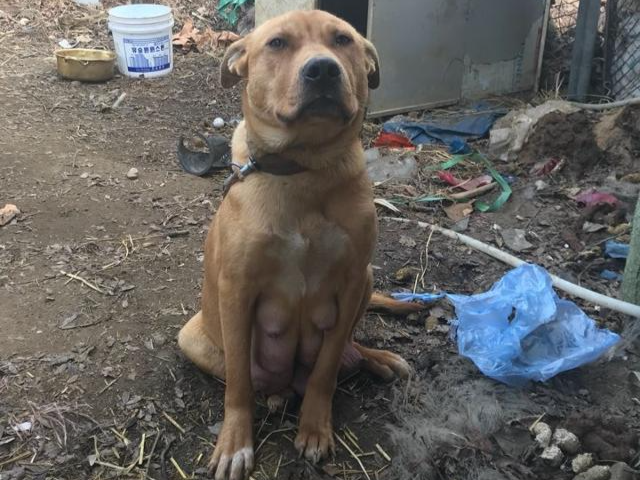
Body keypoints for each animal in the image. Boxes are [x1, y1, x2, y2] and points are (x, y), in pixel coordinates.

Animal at [175, 10, 418, 480]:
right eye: (277, 43)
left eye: (343, 40)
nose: (322, 69)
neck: (304, 169)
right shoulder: (237, 288)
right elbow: (238, 383)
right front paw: (235, 443)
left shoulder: (351, 280)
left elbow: (326, 370)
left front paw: (315, 428)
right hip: (191, 337)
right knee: (254, 379)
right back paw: (275, 395)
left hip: (367, 280)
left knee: (347, 352)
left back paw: (377, 359)